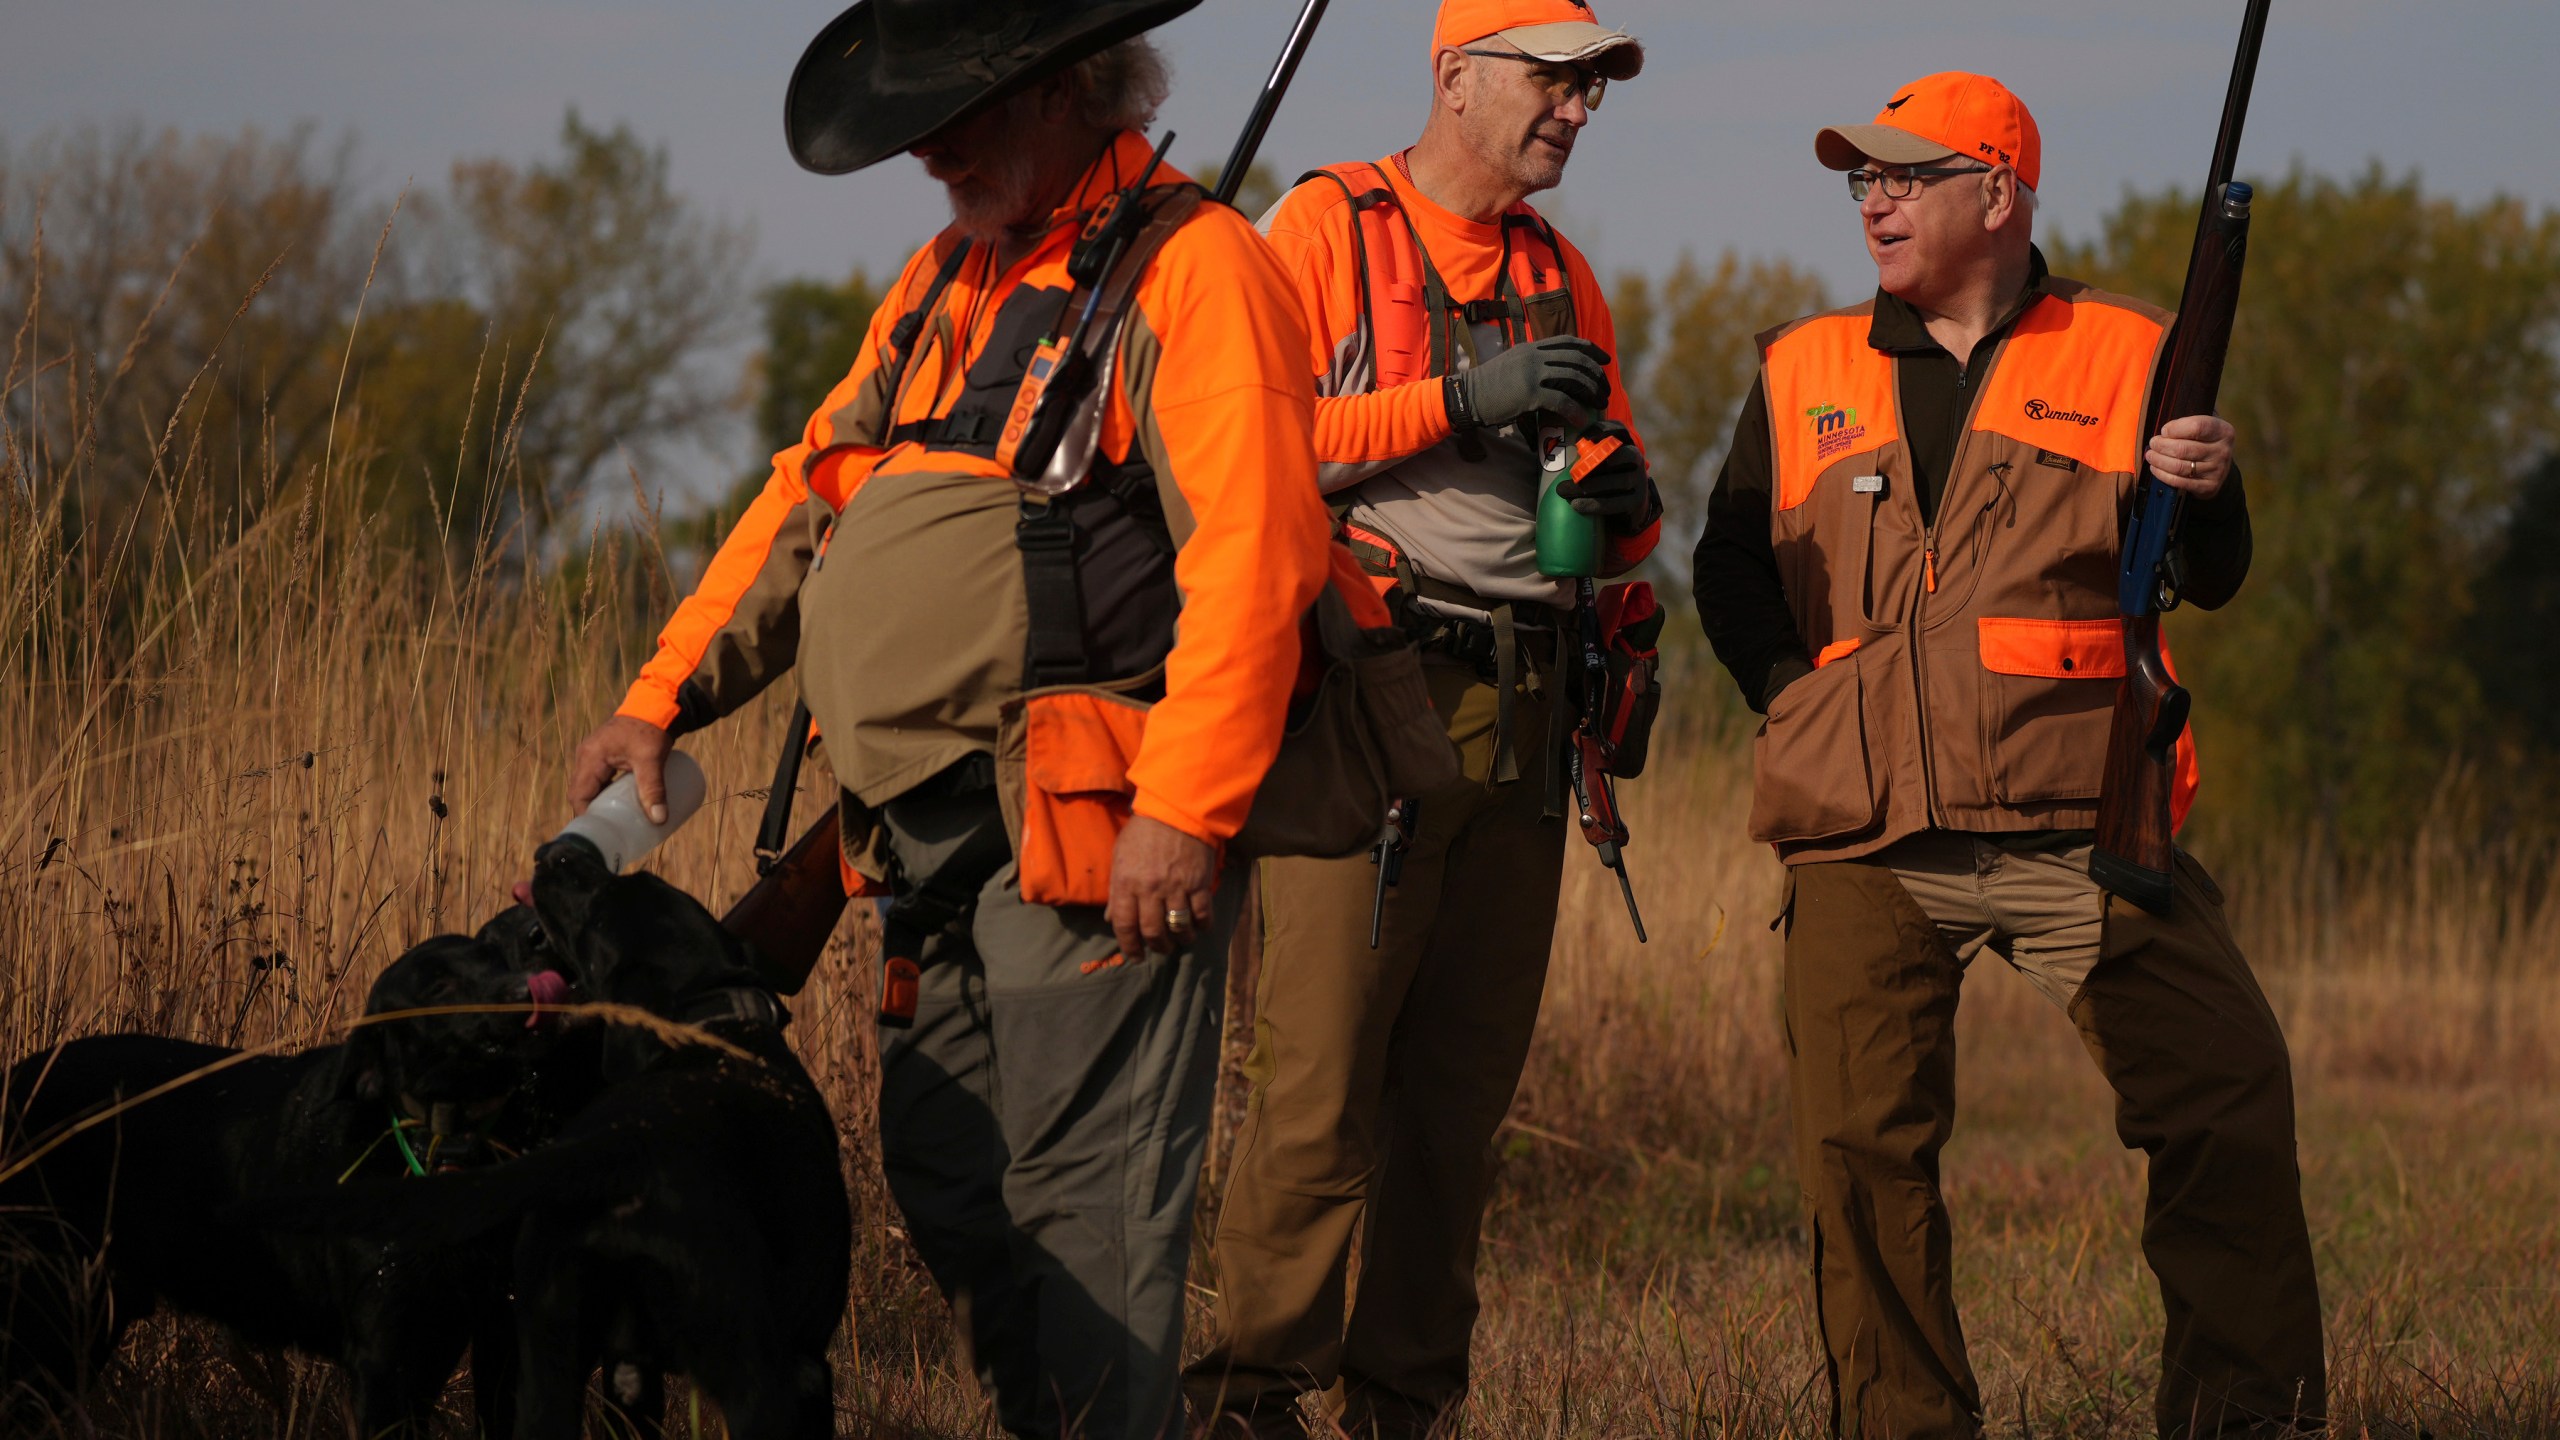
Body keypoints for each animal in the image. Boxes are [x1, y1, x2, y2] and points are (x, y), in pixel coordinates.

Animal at [0, 932, 558, 1424]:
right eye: (439, 987)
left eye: (497, 961)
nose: (529, 990)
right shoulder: (388, 1361)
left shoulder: (500, 1337)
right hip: (44, 1309)